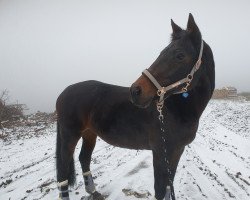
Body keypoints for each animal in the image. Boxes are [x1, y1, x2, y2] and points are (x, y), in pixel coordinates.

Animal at [55, 12, 215, 200]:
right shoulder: (160, 153)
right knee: (62, 171)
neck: (175, 110)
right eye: (162, 53)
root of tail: (64, 92)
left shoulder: (177, 151)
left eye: (180, 55)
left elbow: (169, 185)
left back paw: (93, 191)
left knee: (84, 159)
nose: (135, 91)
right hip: (70, 135)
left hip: (89, 133)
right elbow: (160, 190)